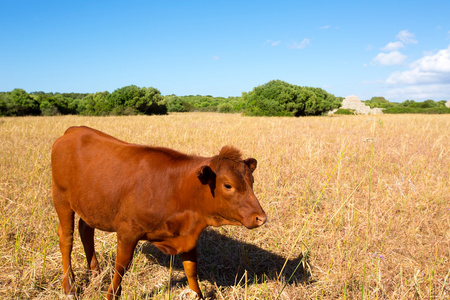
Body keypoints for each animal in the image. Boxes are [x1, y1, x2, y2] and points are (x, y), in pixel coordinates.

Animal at [51, 125, 268, 298]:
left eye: (251, 181)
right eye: (228, 185)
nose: (260, 218)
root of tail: (75, 130)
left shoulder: (187, 235)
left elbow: (191, 268)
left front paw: (198, 295)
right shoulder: (128, 231)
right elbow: (121, 266)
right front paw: (111, 295)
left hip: (91, 205)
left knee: (85, 231)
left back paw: (96, 276)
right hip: (61, 199)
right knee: (66, 238)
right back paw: (69, 288)